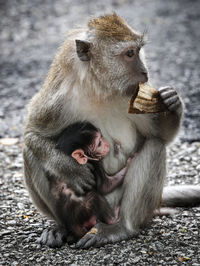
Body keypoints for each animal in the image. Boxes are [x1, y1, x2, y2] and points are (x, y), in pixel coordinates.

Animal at [23, 13, 200, 248]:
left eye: (138, 51)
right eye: (129, 54)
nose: (145, 71)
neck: (99, 89)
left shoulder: (133, 95)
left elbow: (158, 136)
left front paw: (172, 102)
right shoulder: (58, 99)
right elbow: (32, 134)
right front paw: (71, 170)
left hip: (116, 204)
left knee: (155, 147)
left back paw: (122, 227)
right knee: (30, 154)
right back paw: (62, 228)